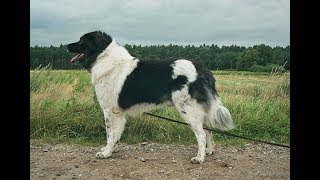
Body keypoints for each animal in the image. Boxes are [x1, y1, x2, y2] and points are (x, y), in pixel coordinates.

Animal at [65, 30, 235, 163]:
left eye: (81, 41)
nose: (66, 45)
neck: (104, 57)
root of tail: (201, 68)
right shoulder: (118, 113)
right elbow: (115, 135)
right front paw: (111, 150)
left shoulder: (109, 110)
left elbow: (110, 134)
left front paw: (106, 153)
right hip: (198, 110)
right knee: (209, 131)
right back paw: (209, 152)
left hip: (188, 109)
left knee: (202, 135)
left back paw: (199, 158)